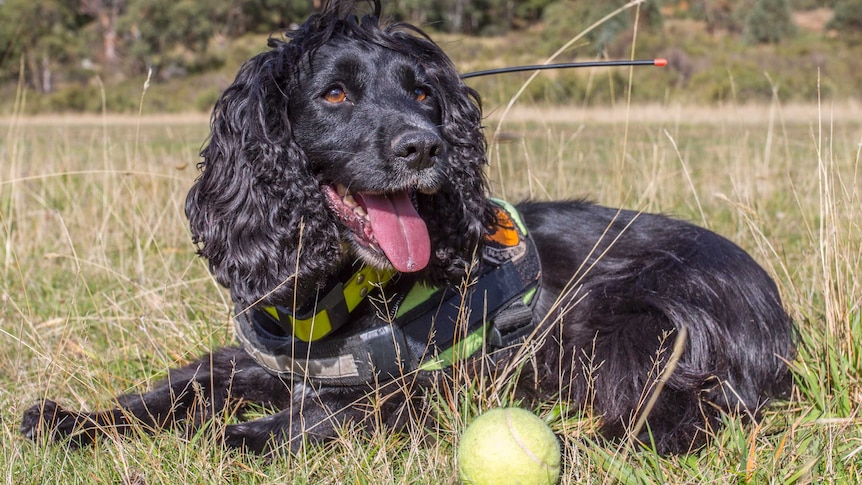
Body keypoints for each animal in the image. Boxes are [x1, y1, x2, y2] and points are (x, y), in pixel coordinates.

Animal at [22, 0, 796, 456]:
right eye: (335, 93)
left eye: (424, 93)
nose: (425, 147)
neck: (342, 288)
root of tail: (775, 314)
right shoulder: (274, 357)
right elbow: (181, 384)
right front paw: (72, 420)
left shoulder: (458, 375)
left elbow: (363, 404)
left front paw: (256, 433)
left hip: (621, 323)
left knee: (670, 418)